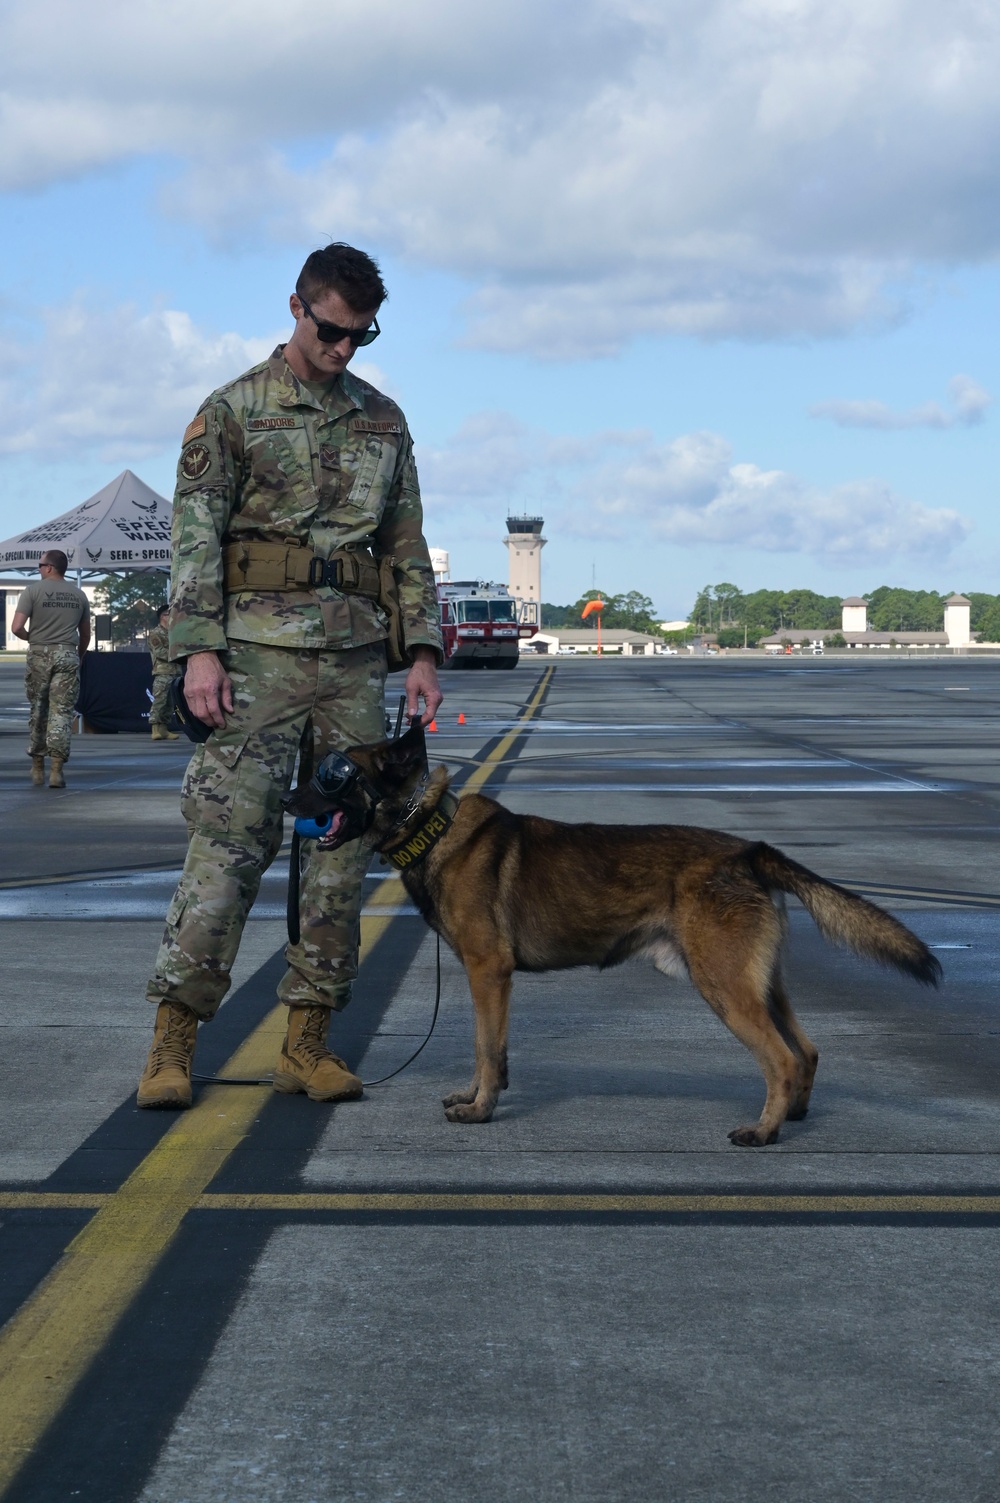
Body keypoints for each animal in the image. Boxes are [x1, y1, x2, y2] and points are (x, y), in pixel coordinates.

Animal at [284, 721, 938, 1142]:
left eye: (335, 775)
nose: (288, 799)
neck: (431, 825)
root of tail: (750, 852)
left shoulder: (489, 974)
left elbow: (486, 1048)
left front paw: (482, 1111)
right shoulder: (486, 981)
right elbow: (484, 1048)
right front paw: (474, 1097)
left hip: (725, 989)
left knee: (780, 1059)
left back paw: (763, 1131)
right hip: (761, 986)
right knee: (806, 1051)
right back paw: (792, 1118)